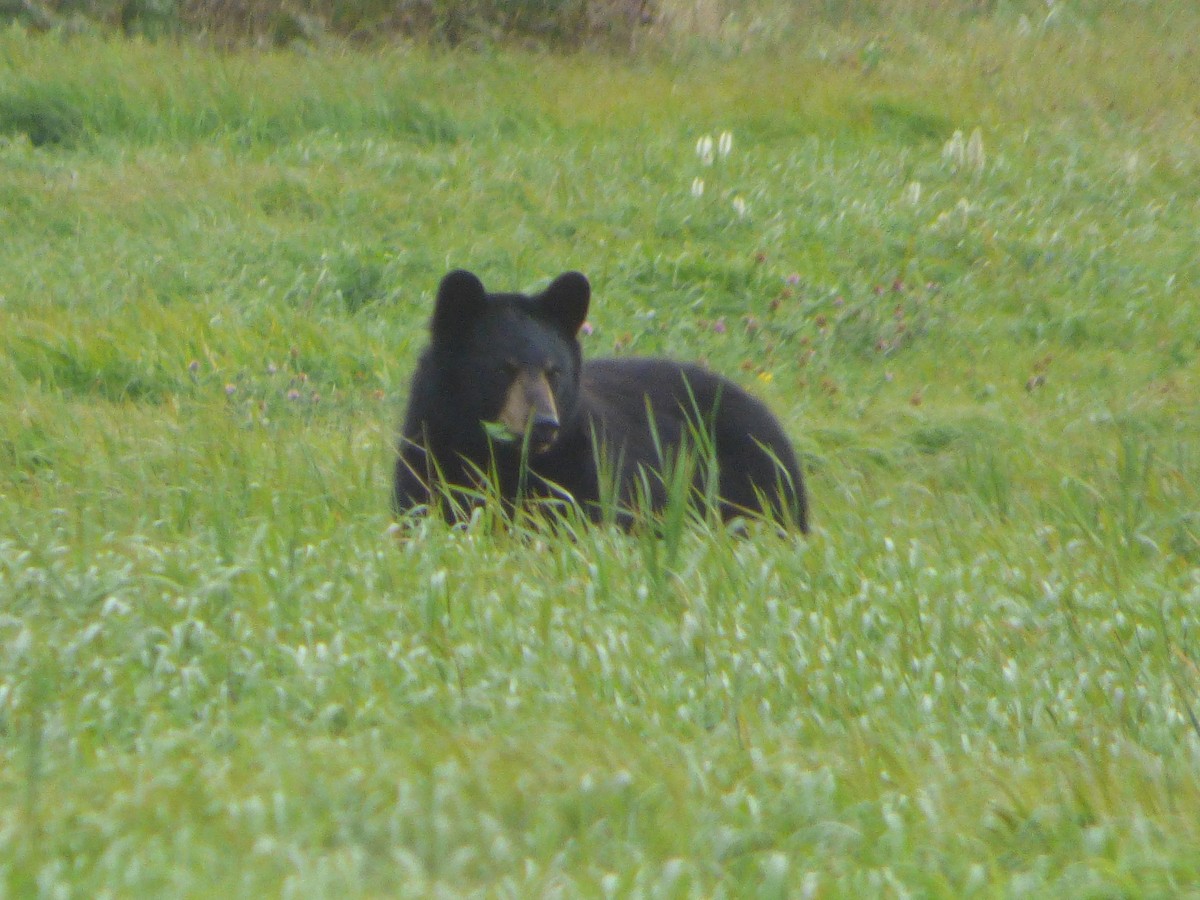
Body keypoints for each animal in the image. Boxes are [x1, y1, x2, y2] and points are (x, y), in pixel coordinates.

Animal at [393, 269, 808, 532]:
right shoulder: (427, 455)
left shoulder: (587, 470)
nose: (544, 425)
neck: (500, 456)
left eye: (554, 371)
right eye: (503, 368)